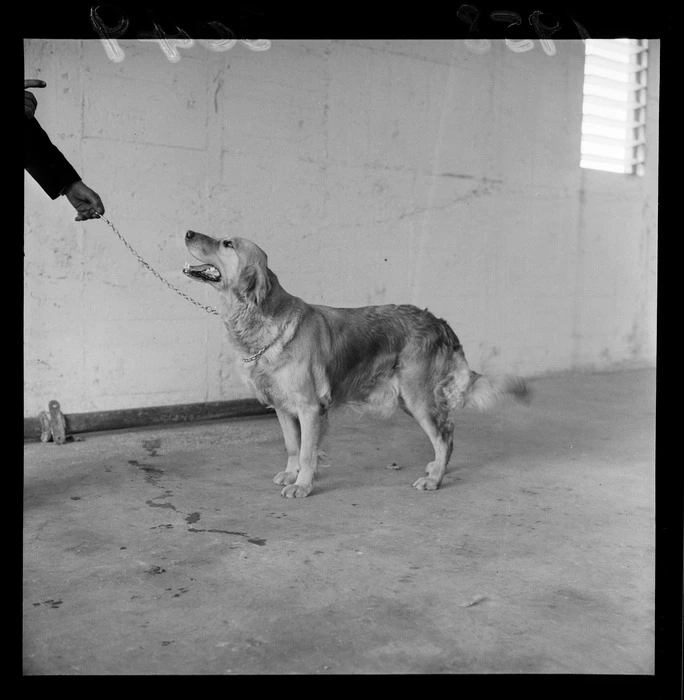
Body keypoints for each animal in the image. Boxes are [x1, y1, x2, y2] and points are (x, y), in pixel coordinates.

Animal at [183, 231, 528, 498]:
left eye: (227, 243)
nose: (187, 233)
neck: (265, 320)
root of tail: (439, 322)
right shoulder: (283, 407)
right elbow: (293, 446)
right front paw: (292, 474)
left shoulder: (310, 407)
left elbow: (307, 452)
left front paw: (303, 485)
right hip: (407, 398)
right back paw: (434, 468)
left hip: (418, 396)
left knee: (445, 437)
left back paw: (434, 478)